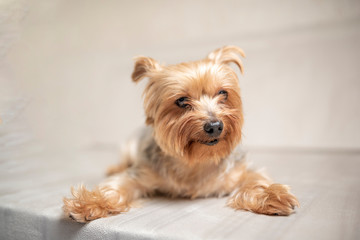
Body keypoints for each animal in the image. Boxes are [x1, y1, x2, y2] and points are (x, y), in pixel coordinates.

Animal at [63, 46, 300, 222]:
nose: (215, 125)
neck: (196, 160)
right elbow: (116, 186)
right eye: (182, 101)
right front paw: (90, 202)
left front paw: (272, 196)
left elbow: (256, 180)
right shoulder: (141, 173)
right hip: (129, 145)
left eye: (223, 93)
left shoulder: (240, 170)